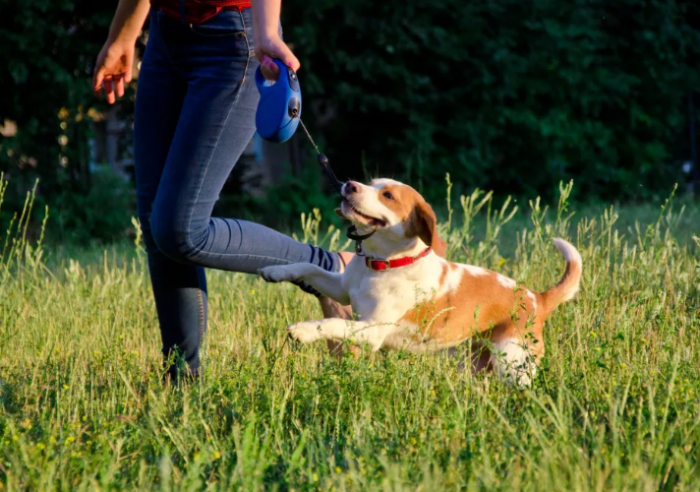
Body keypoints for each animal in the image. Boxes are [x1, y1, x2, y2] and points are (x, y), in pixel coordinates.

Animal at [260, 179, 584, 386]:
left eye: (388, 196)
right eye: (371, 182)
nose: (350, 184)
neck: (382, 264)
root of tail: (537, 298)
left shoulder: (372, 330)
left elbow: (331, 323)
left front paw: (302, 330)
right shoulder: (341, 290)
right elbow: (308, 267)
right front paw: (274, 271)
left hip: (513, 364)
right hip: (477, 364)